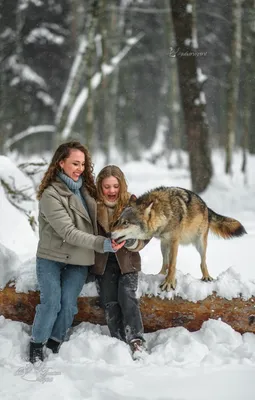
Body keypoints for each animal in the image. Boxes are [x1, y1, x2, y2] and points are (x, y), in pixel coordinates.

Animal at [110, 186, 247, 292]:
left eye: (126, 223)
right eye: (118, 221)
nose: (110, 234)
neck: (165, 214)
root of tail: (206, 206)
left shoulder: (174, 242)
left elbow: (172, 265)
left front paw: (169, 283)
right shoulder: (166, 241)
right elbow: (167, 263)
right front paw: (163, 278)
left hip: (200, 243)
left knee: (203, 262)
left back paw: (206, 277)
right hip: (163, 245)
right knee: (164, 263)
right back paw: (159, 274)